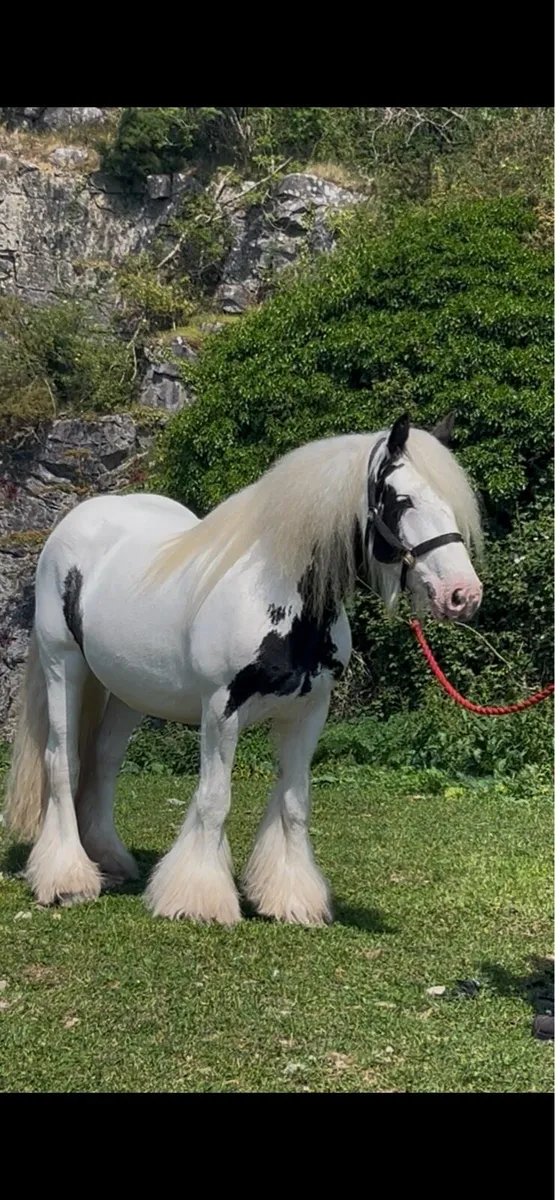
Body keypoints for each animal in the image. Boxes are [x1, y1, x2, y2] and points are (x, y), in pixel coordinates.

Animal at [4, 412, 483, 926]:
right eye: (401, 500)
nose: (463, 594)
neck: (278, 595)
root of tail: (77, 523)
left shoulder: (308, 713)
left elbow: (294, 802)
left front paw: (292, 899)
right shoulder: (222, 710)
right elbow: (215, 800)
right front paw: (199, 899)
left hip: (130, 691)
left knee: (103, 761)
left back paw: (109, 861)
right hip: (64, 666)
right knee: (62, 760)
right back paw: (67, 879)